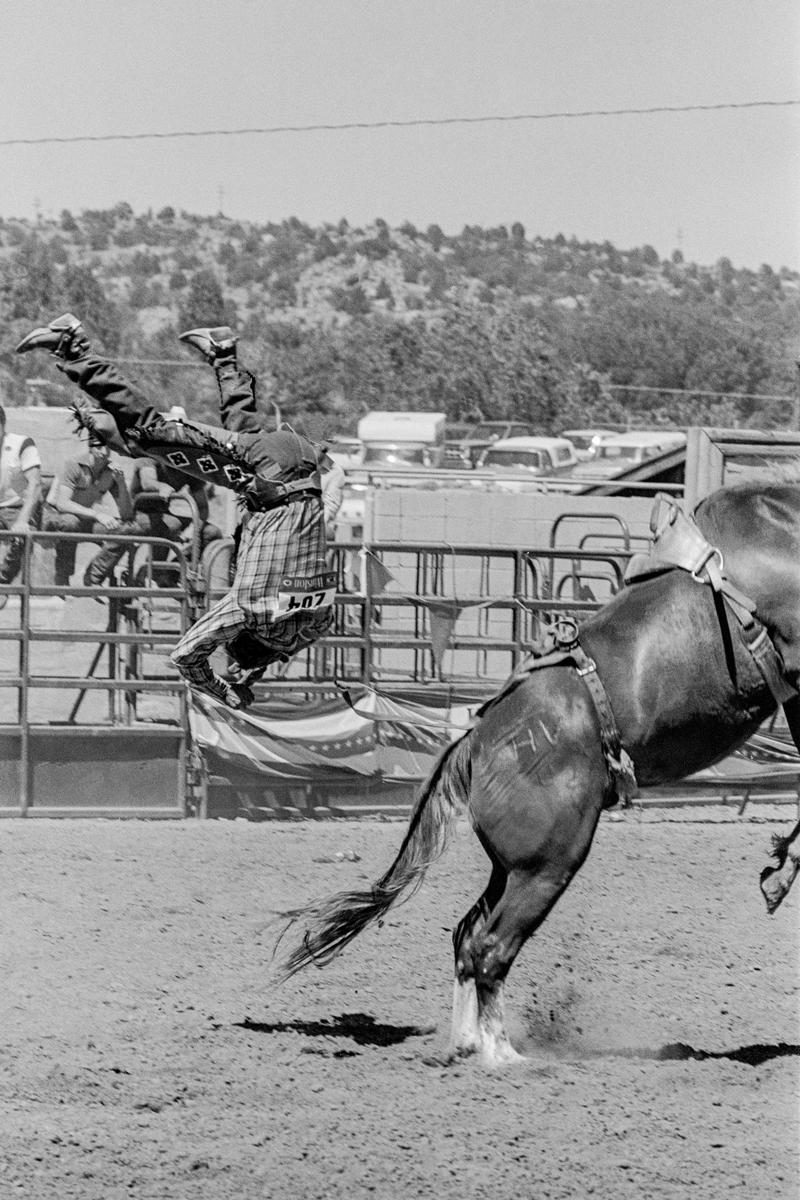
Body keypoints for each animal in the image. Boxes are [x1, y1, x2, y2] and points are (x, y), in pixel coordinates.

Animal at [278, 482, 800, 1065]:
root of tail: (476, 741)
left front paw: (782, 869)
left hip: (511, 866)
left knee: (467, 935)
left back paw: (465, 1042)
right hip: (547, 864)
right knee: (489, 946)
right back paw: (502, 1056)